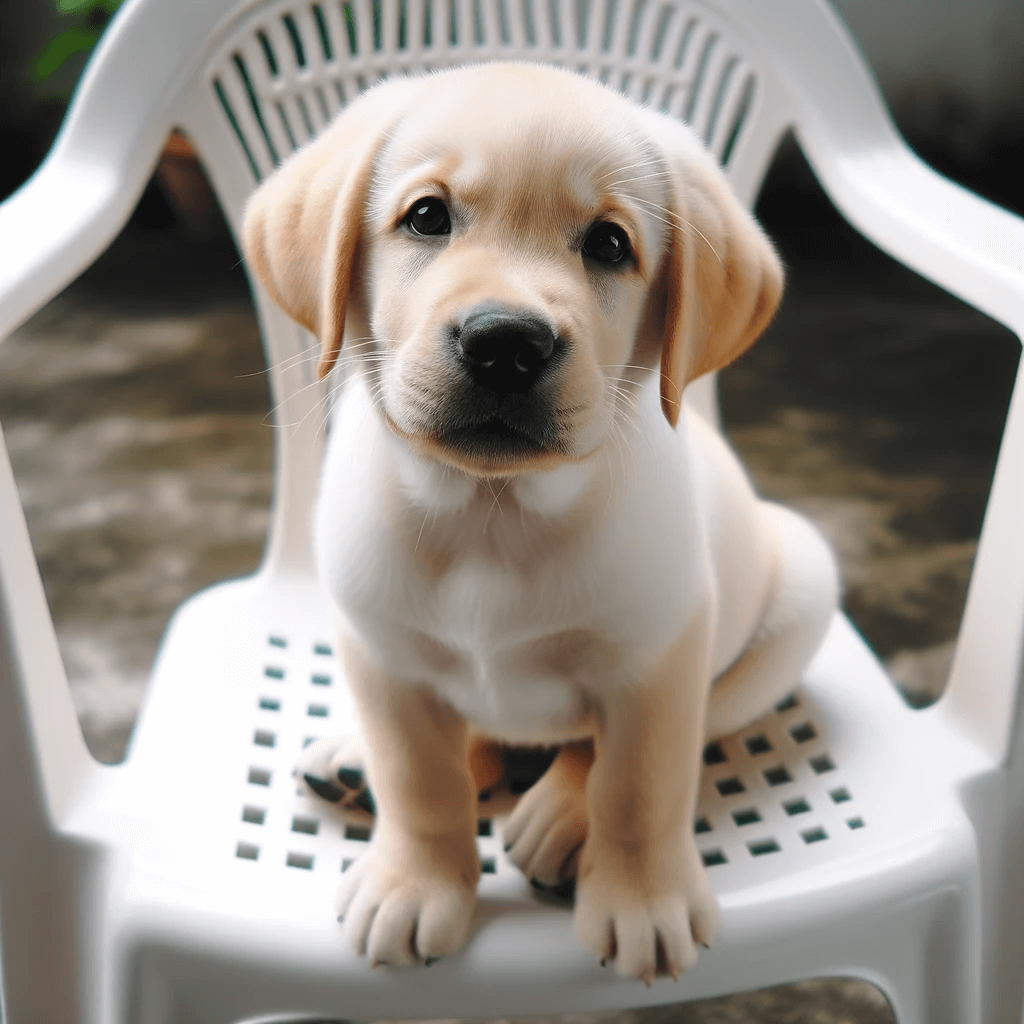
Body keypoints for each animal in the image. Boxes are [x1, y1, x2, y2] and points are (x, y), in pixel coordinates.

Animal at [241, 58, 839, 983]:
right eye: (426, 216)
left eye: (609, 245)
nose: (505, 343)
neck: (493, 515)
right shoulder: (380, 653)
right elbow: (421, 781)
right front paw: (415, 882)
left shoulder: (660, 655)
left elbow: (638, 787)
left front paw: (641, 903)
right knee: (472, 743)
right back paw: (356, 761)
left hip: (797, 592)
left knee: (625, 741)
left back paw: (557, 816)